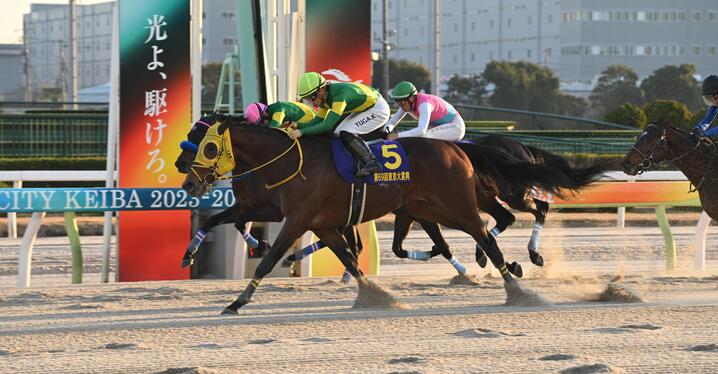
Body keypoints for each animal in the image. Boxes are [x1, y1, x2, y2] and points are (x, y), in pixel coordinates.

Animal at [183, 118, 584, 314]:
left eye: (209, 147)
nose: (188, 181)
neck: (288, 161)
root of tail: (456, 149)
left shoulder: (297, 219)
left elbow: (268, 262)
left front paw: (237, 302)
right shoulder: (319, 223)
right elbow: (351, 258)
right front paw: (378, 297)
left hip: (459, 206)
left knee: (491, 235)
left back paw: (517, 285)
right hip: (432, 209)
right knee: (491, 228)